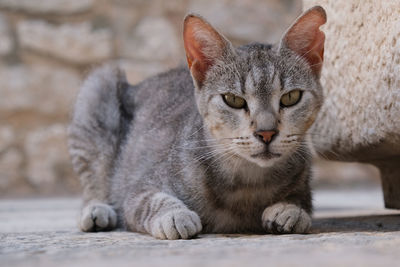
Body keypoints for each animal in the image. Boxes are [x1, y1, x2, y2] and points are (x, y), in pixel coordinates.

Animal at [68, 6, 324, 241]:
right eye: (233, 100)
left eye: (291, 97)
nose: (267, 132)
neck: (248, 182)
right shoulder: (138, 190)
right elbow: (150, 201)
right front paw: (174, 215)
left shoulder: (304, 183)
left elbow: (301, 201)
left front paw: (290, 210)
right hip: (99, 85)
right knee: (93, 185)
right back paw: (96, 211)